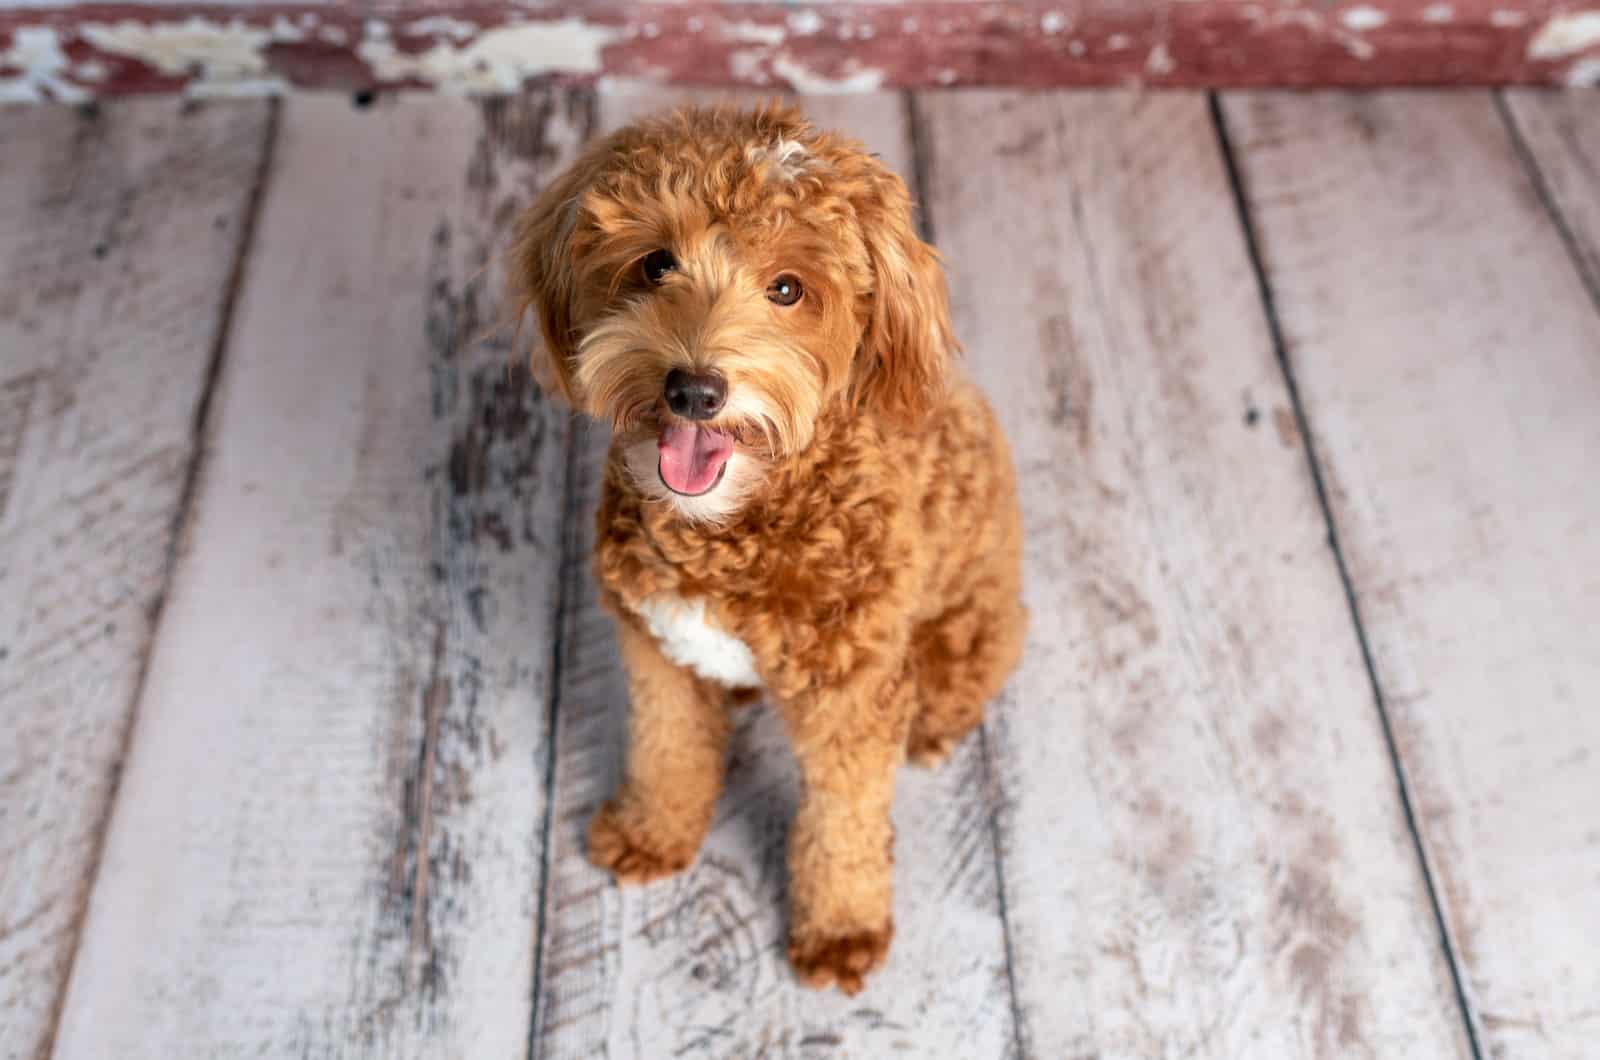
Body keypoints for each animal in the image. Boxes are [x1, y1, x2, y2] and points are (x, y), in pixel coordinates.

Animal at [518, 104, 1030, 999]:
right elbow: (665, 751)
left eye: (788, 288)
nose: (694, 389)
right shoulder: (657, 649)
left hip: (967, 627)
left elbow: (842, 823)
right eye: (656, 263)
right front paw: (651, 833)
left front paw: (841, 929)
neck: (733, 532)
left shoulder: (851, 698)